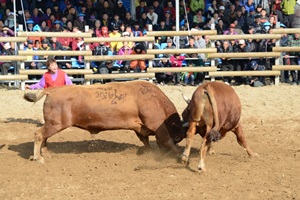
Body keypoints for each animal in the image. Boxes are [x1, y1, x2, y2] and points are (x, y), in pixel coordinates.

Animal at [24, 79, 183, 162]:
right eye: (177, 134)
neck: (155, 99)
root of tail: (52, 90)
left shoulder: (140, 128)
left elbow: (146, 140)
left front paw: (150, 151)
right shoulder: (156, 124)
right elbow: (167, 140)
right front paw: (180, 154)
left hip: (51, 124)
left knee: (44, 136)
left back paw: (46, 153)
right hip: (55, 124)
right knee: (39, 134)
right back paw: (38, 157)